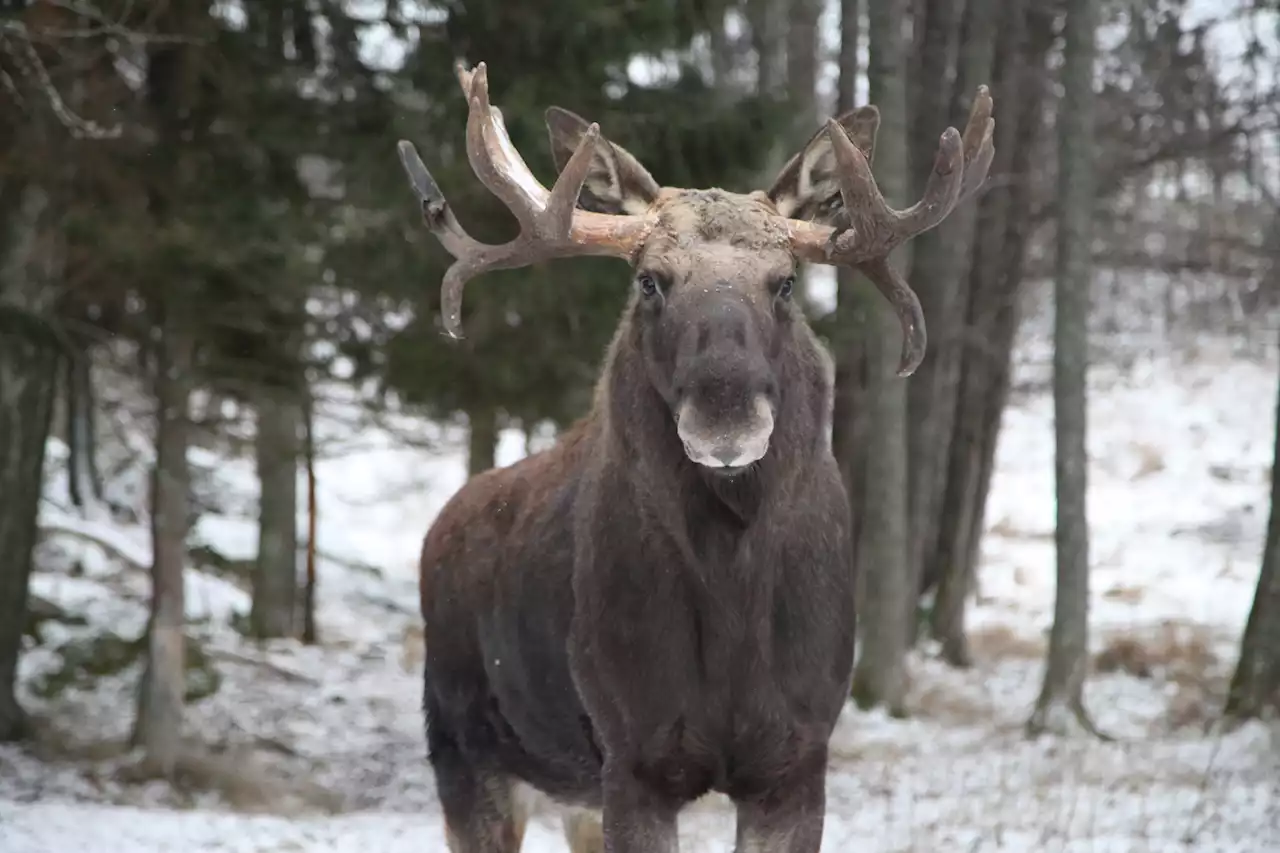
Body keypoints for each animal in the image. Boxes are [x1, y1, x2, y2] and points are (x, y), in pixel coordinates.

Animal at [396, 61, 988, 850]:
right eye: (649, 278)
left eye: (786, 281)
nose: (726, 413)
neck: (731, 584)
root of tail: (440, 528)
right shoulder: (633, 756)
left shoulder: (797, 758)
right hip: (465, 748)